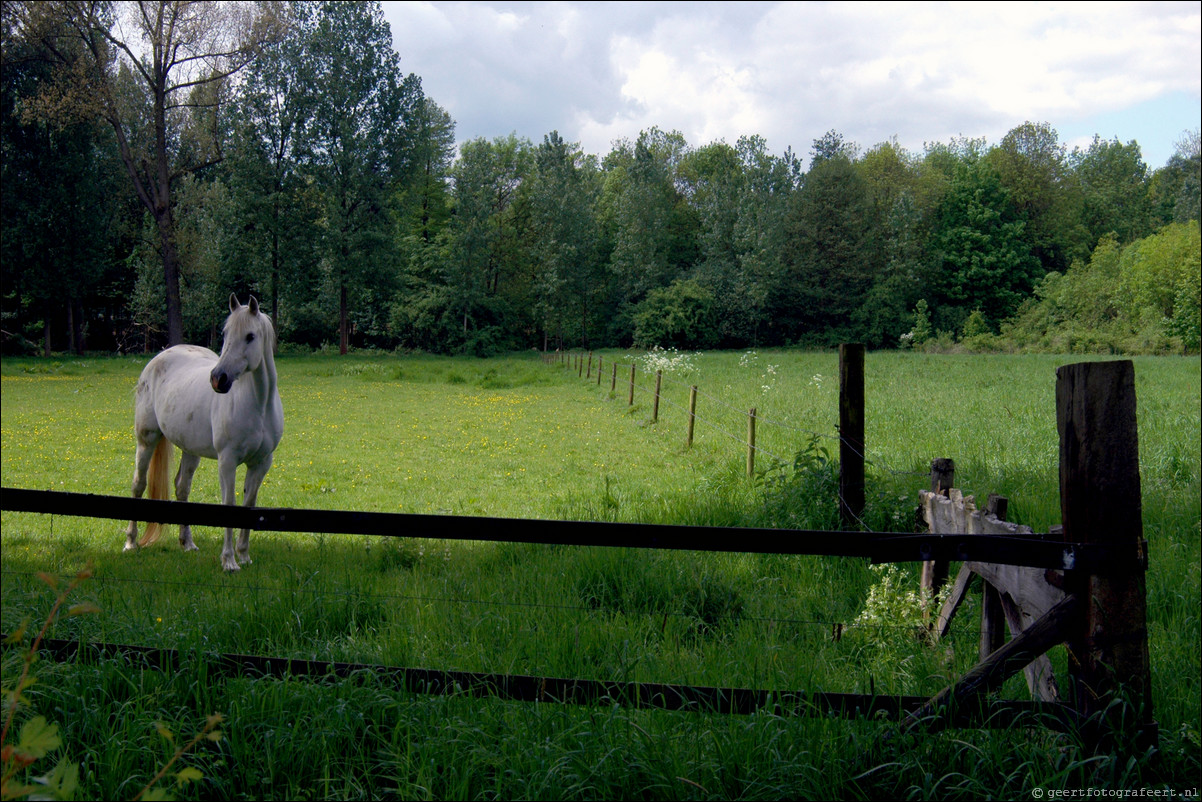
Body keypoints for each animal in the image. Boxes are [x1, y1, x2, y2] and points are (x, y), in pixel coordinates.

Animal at [124, 294, 283, 569]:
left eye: (250, 336)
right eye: (225, 333)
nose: (219, 379)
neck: (258, 404)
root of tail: (160, 357)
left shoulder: (261, 463)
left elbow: (248, 504)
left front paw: (244, 555)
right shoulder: (227, 461)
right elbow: (229, 504)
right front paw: (229, 561)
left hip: (191, 449)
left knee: (182, 487)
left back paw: (187, 543)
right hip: (146, 440)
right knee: (138, 485)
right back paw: (131, 542)